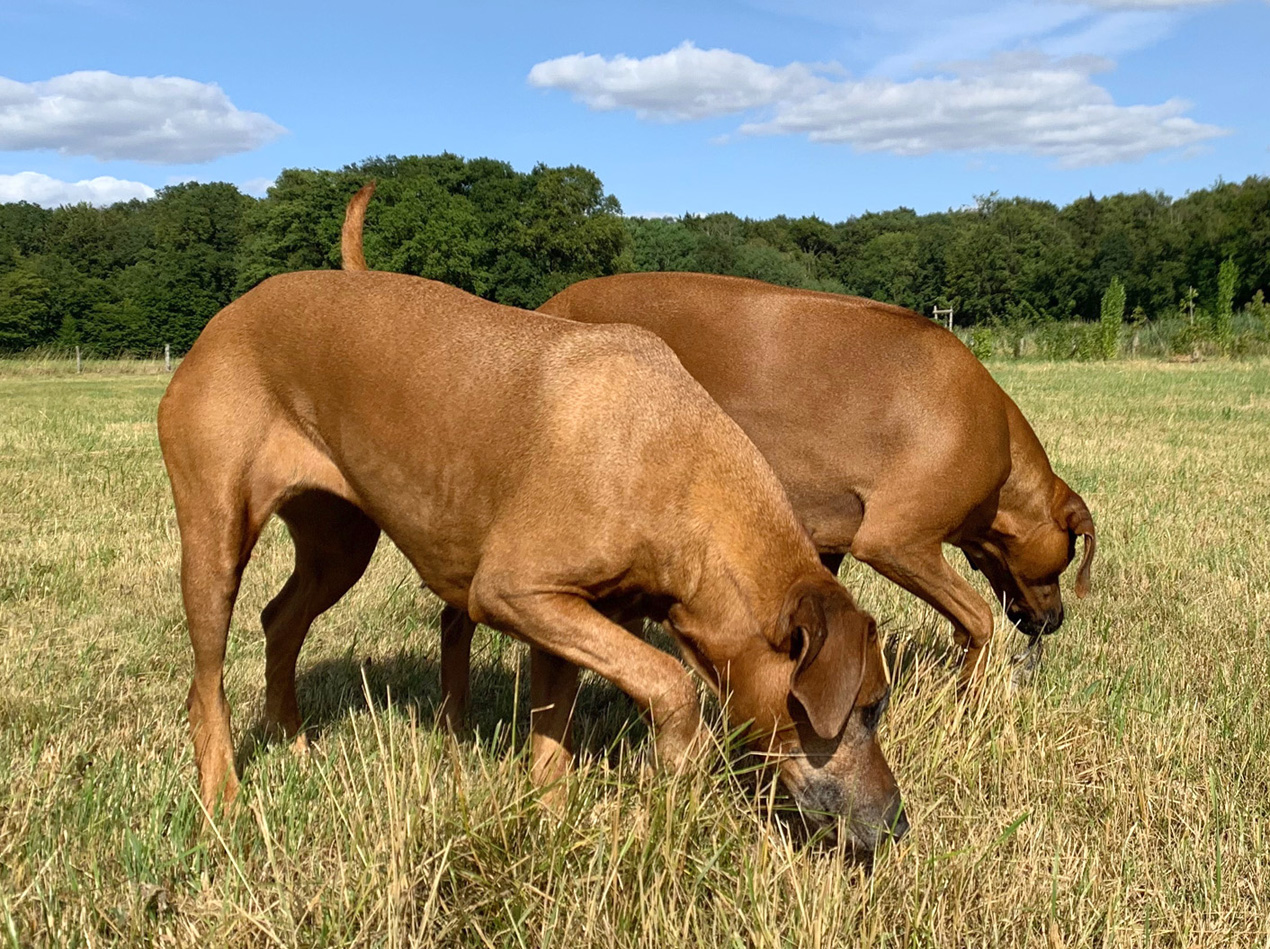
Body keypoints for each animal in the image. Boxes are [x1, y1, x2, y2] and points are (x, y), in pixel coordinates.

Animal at [157, 184, 906, 848]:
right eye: (869, 708)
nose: (897, 823)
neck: (679, 463)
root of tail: (229, 313)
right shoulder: (514, 591)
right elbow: (671, 682)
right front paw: (677, 763)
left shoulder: (566, 619)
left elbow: (553, 741)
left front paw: (551, 823)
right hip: (215, 536)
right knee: (205, 683)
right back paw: (223, 797)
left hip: (339, 545)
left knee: (280, 618)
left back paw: (293, 741)